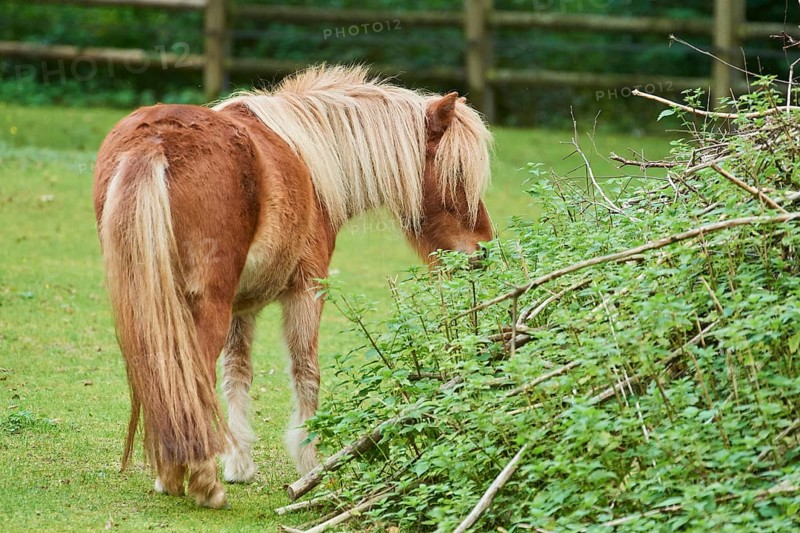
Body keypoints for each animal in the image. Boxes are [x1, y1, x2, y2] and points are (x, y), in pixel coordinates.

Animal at [93, 65, 493, 508]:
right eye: (457, 174)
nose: (482, 251)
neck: (311, 163)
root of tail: (156, 141)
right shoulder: (306, 290)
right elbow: (306, 371)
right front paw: (310, 465)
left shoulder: (242, 305)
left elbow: (237, 372)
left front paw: (240, 463)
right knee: (190, 376)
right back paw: (203, 482)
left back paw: (171, 474)